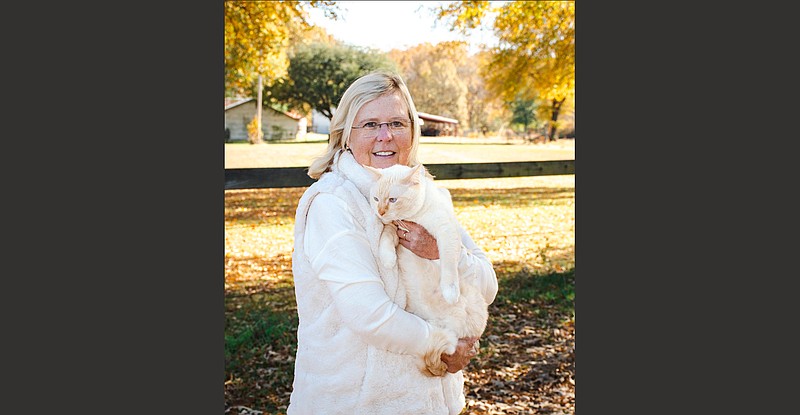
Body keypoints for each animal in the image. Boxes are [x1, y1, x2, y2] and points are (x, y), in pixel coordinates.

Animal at [362, 164, 488, 378]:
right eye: (376, 199)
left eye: (393, 200)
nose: (380, 212)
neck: (415, 216)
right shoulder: (394, 228)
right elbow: (386, 236)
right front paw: (387, 259)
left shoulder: (446, 231)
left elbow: (448, 261)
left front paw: (450, 291)